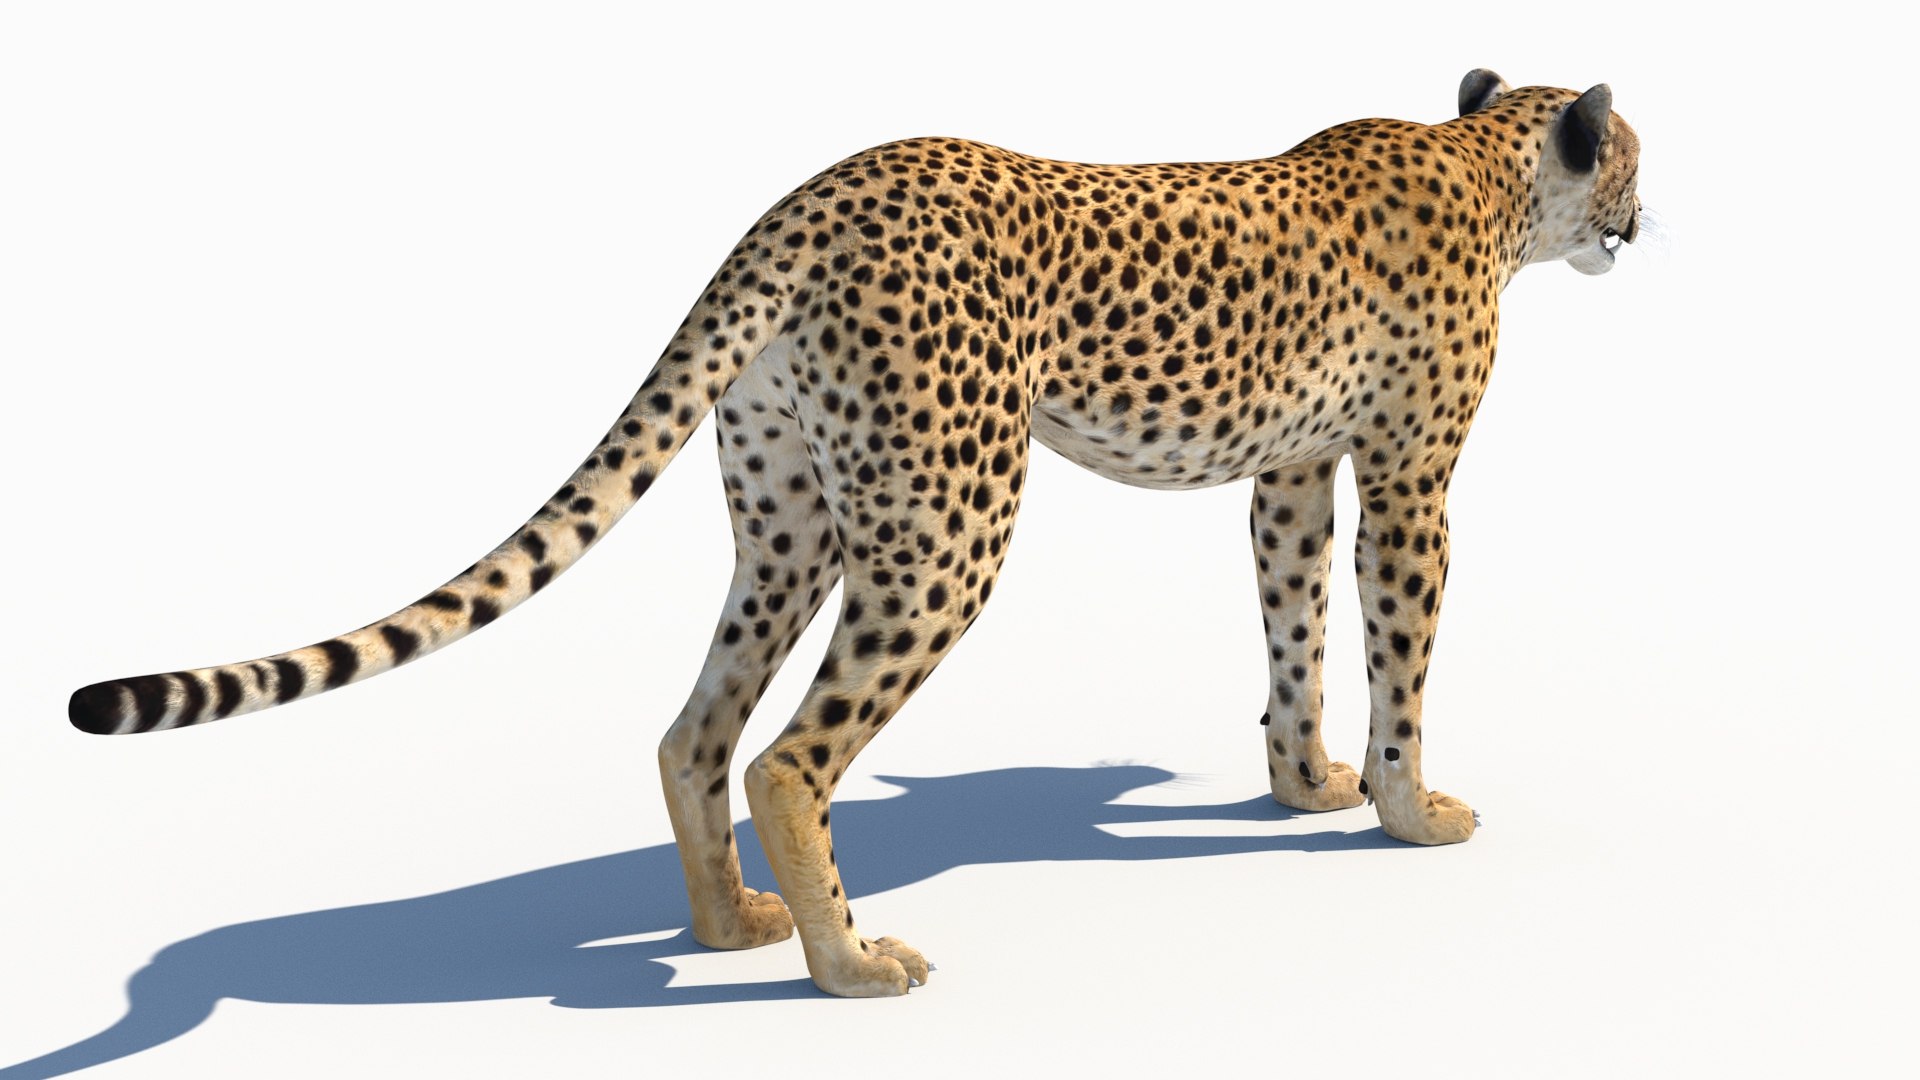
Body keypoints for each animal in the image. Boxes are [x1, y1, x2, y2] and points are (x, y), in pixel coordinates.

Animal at [67, 70, 1646, 998]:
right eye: (1629, 159)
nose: (1643, 220)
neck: (1485, 165)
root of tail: (820, 190)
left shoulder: (1294, 473)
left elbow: (1292, 629)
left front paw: (1305, 785)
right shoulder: (1407, 479)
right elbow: (1399, 655)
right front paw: (1406, 812)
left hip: (793, 518)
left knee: (696, 729)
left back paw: (730, 926)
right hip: (949, 519)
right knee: (786, 754)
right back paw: (845, 960)